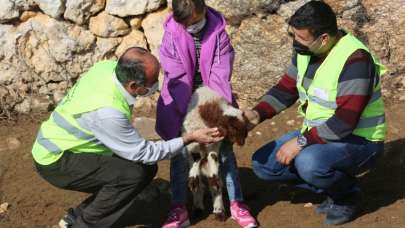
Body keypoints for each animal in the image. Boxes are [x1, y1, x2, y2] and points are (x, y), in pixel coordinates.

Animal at [181, 86, 248, 220]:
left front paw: (214, 181)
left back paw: (219, 211)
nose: (242, 143)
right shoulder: (193, 141)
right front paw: (193, 181)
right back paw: (198, 208)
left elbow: (213, 160)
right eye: (233, 128)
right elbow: (196, 160)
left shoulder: (214, 144)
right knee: (200, 184)